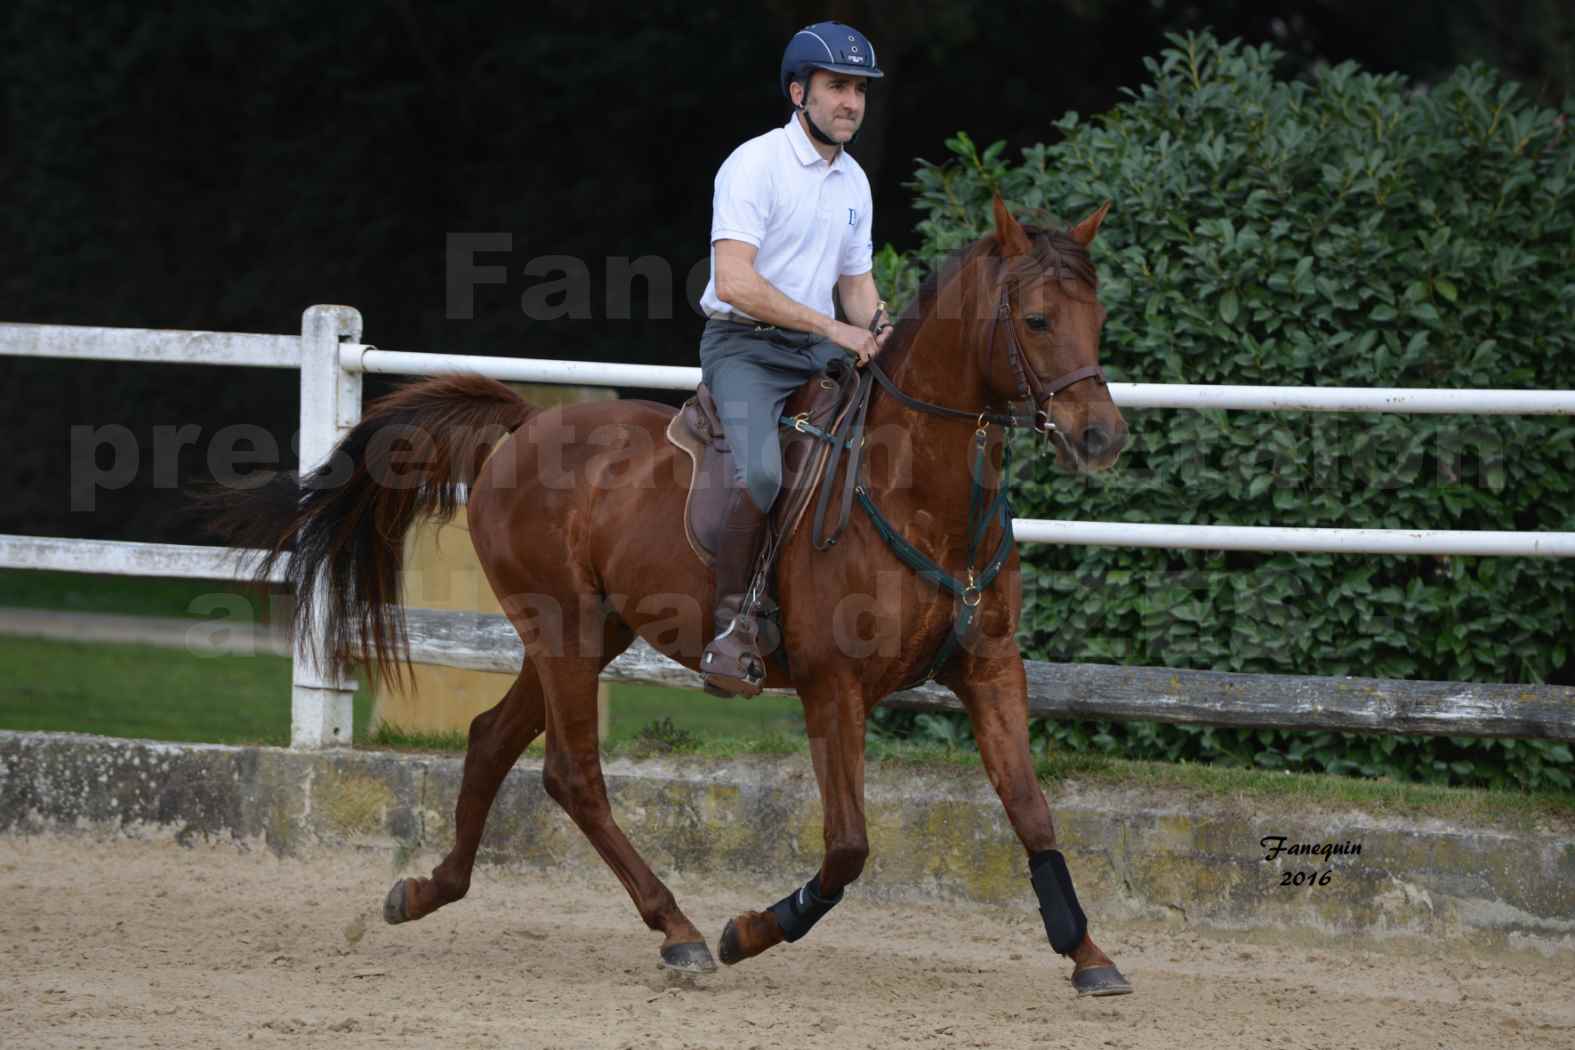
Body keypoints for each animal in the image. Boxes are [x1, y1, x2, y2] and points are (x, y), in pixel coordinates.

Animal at [225, 199, 1134, 1001]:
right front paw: (751, 930)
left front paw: (1088, 955)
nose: (1100, 437)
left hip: (590, 631)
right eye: (1036, 319)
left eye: (1096, 316)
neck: (915, 491)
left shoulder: (989, 671)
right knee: (572, 773)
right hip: (563, 630)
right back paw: (682, 931)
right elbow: (847, 847)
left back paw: (425, 892)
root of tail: (524, 425)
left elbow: (1032, 812)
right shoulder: (833, 687)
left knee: (489, 742)